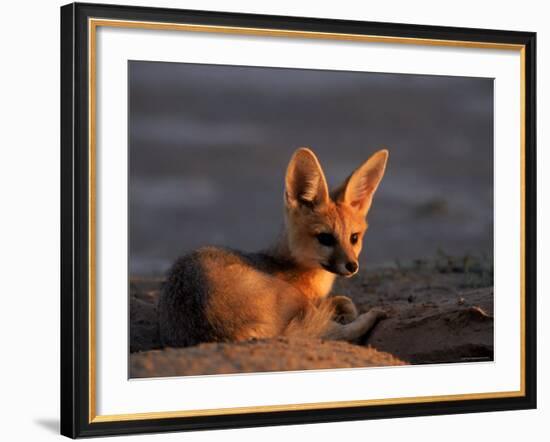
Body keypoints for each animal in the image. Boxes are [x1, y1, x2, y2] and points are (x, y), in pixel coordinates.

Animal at [160, 147, 390, 348]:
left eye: (354, 238)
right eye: (325, 238)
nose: (352, 266)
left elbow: (342, 300)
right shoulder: (307, 304)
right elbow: (341, 308)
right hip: (293, 299)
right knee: (334, 334)